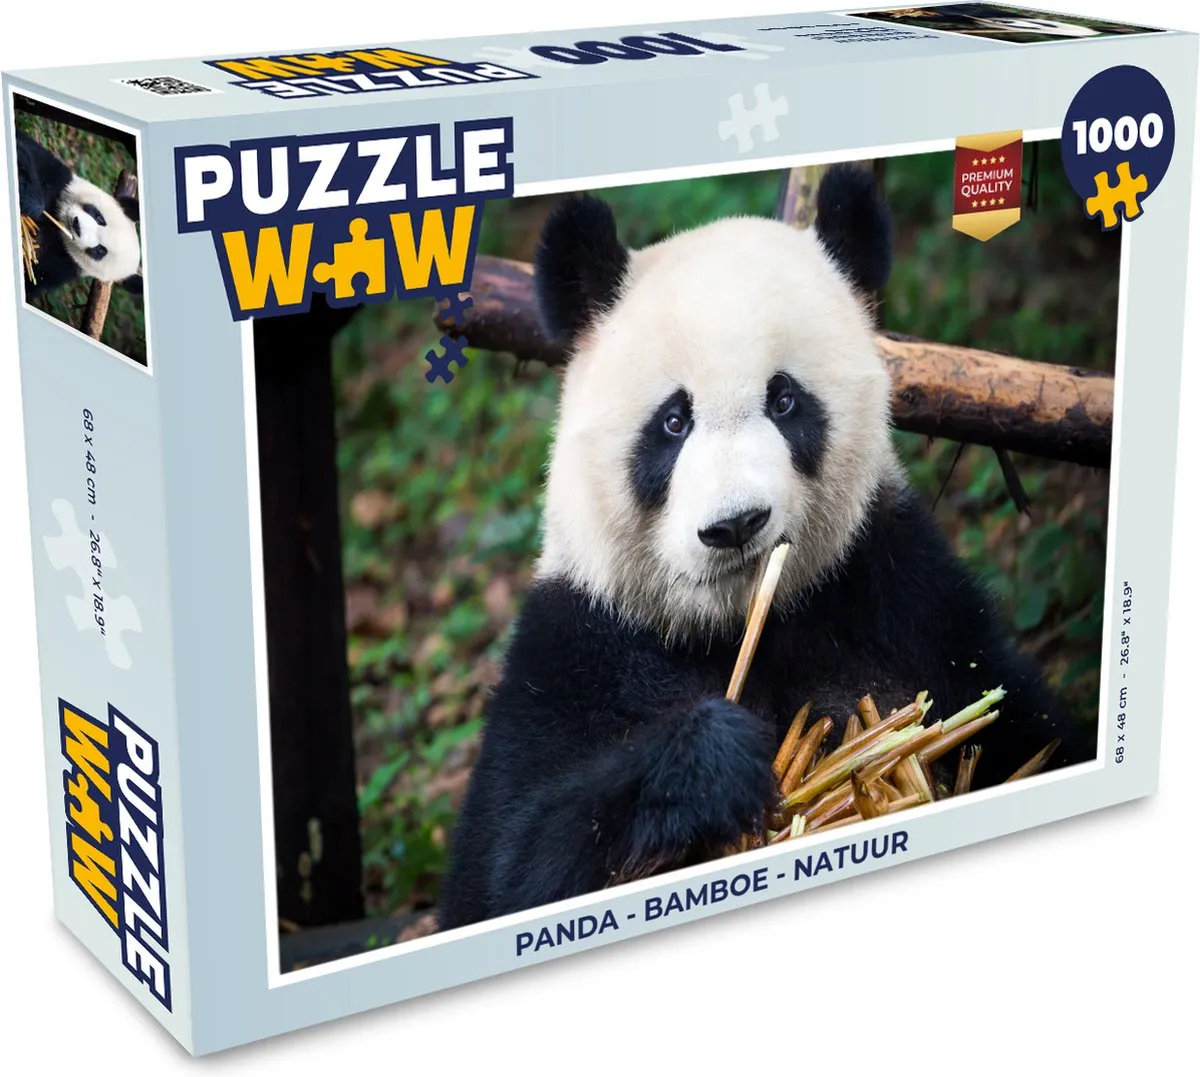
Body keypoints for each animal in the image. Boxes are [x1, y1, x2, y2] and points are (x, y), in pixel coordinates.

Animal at [16, 131, 142, 300]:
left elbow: (32, 281)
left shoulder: (61, 265)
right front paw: (32, 203)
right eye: (100, 219)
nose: (77, 226)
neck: (57, 224)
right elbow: (26, 151)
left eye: (100, 250)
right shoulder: (60, 179)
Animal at [439, 165, 1095, 929]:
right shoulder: (575, 649)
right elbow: (505, 868)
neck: (740, 622)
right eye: (673, 421)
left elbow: (1023, 728)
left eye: (784, 401)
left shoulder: (904, 592)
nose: (735, 524)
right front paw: (712, 761)